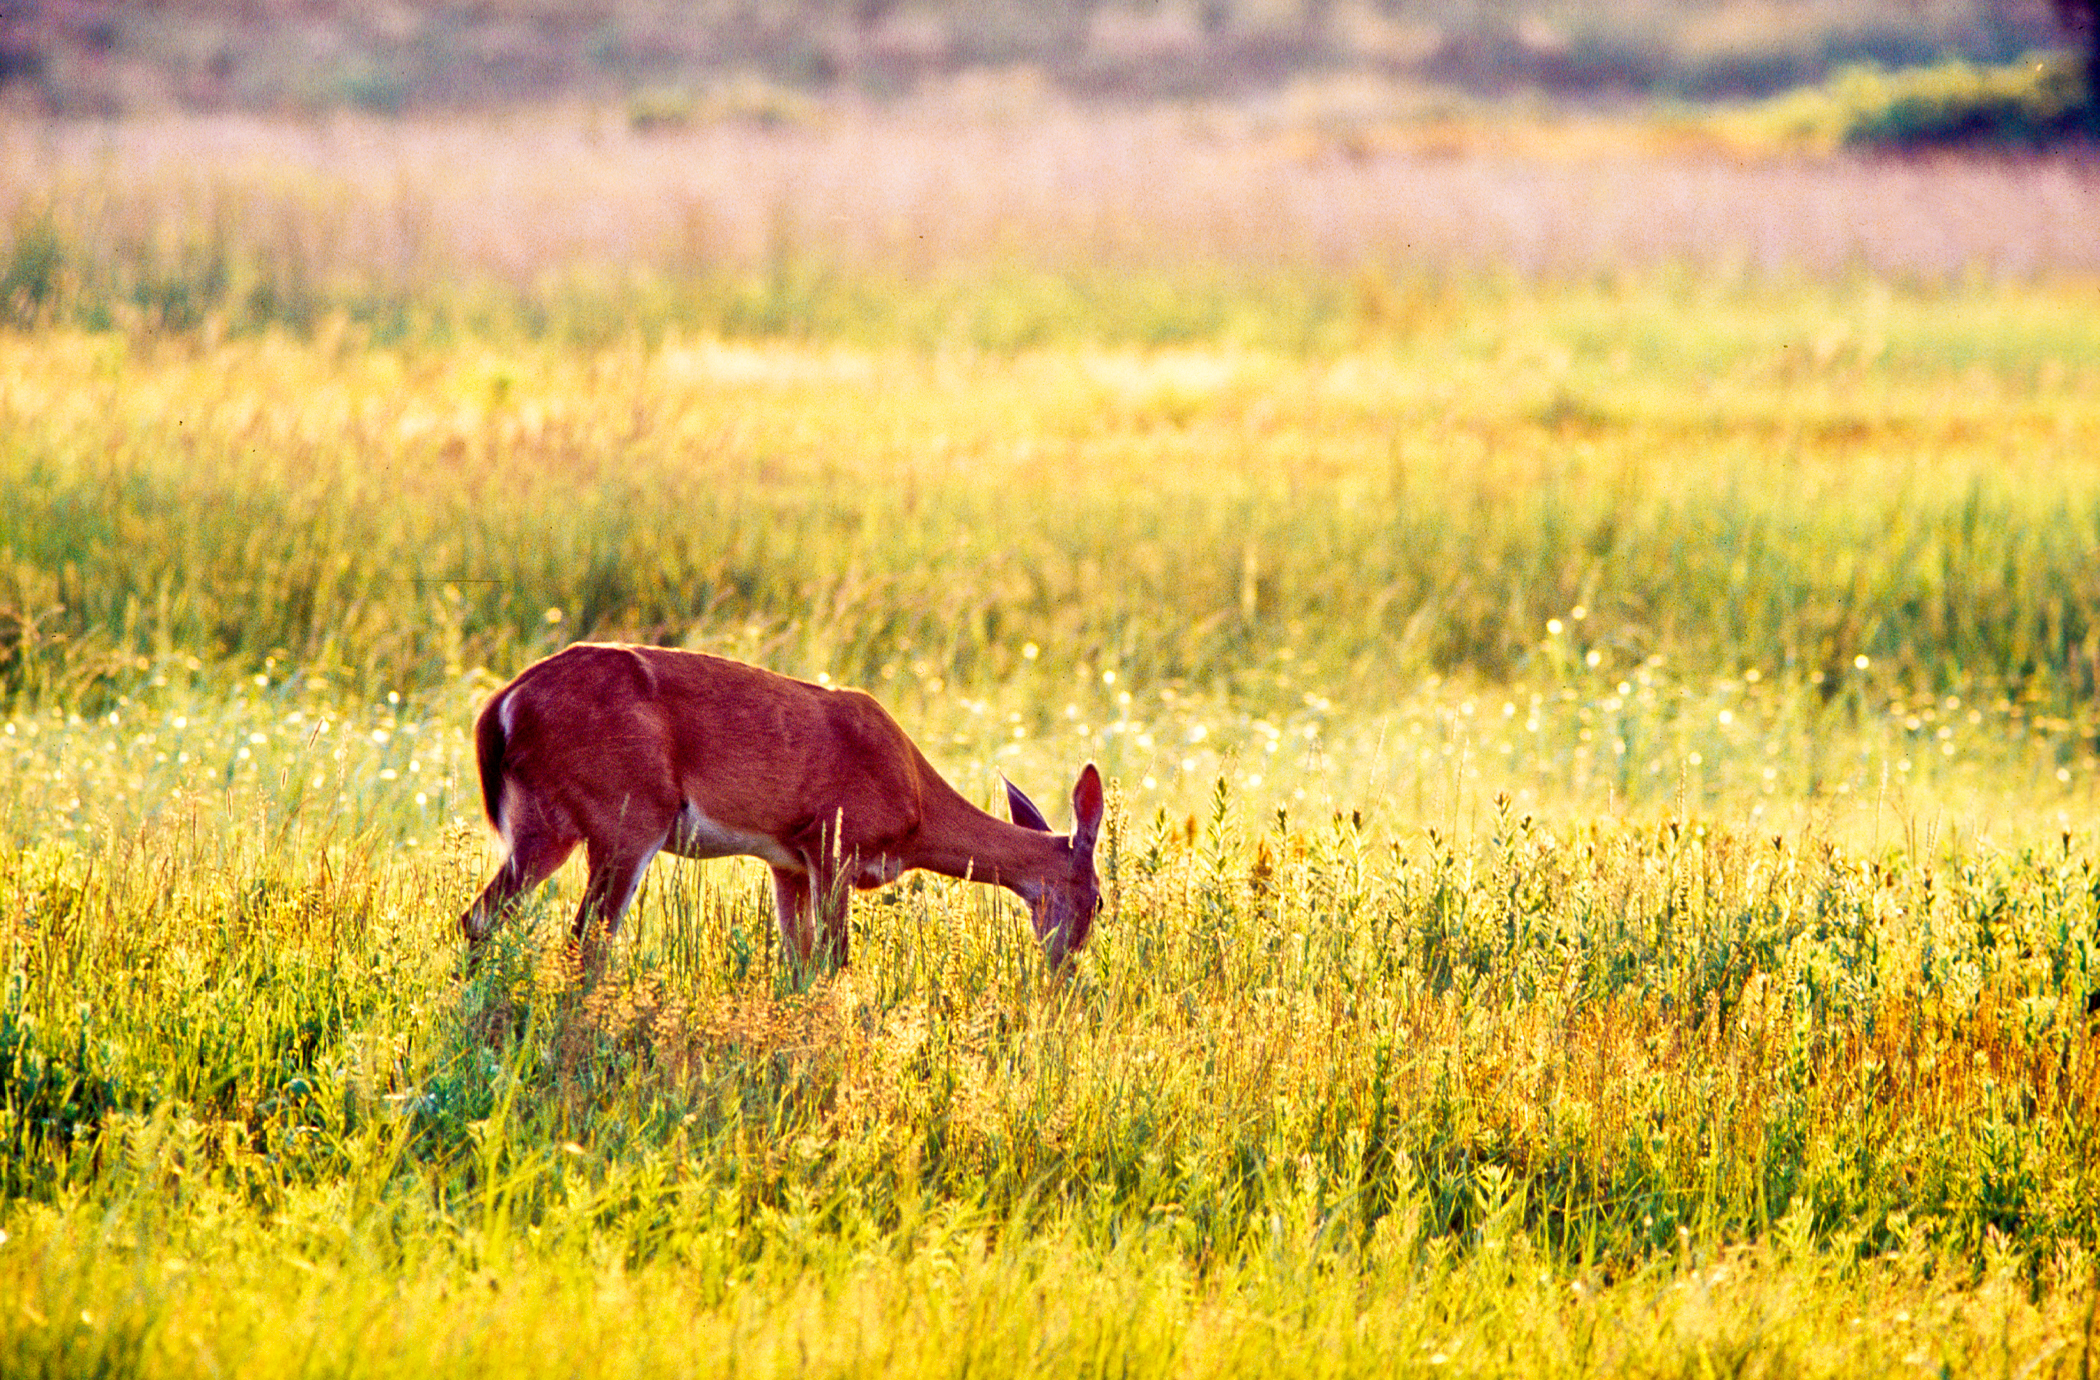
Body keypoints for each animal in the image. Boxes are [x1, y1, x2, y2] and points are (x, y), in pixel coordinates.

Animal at [459, 642, 1104, 974]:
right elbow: (834, 960)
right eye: (1100, 899)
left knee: (478, 918)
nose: (1066, 972)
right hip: (628, 817)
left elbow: (797, 962)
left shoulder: (787, 861)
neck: (918, 809)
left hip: (541, 823)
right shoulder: (833, 842)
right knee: (587, 942)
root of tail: (502, 706)